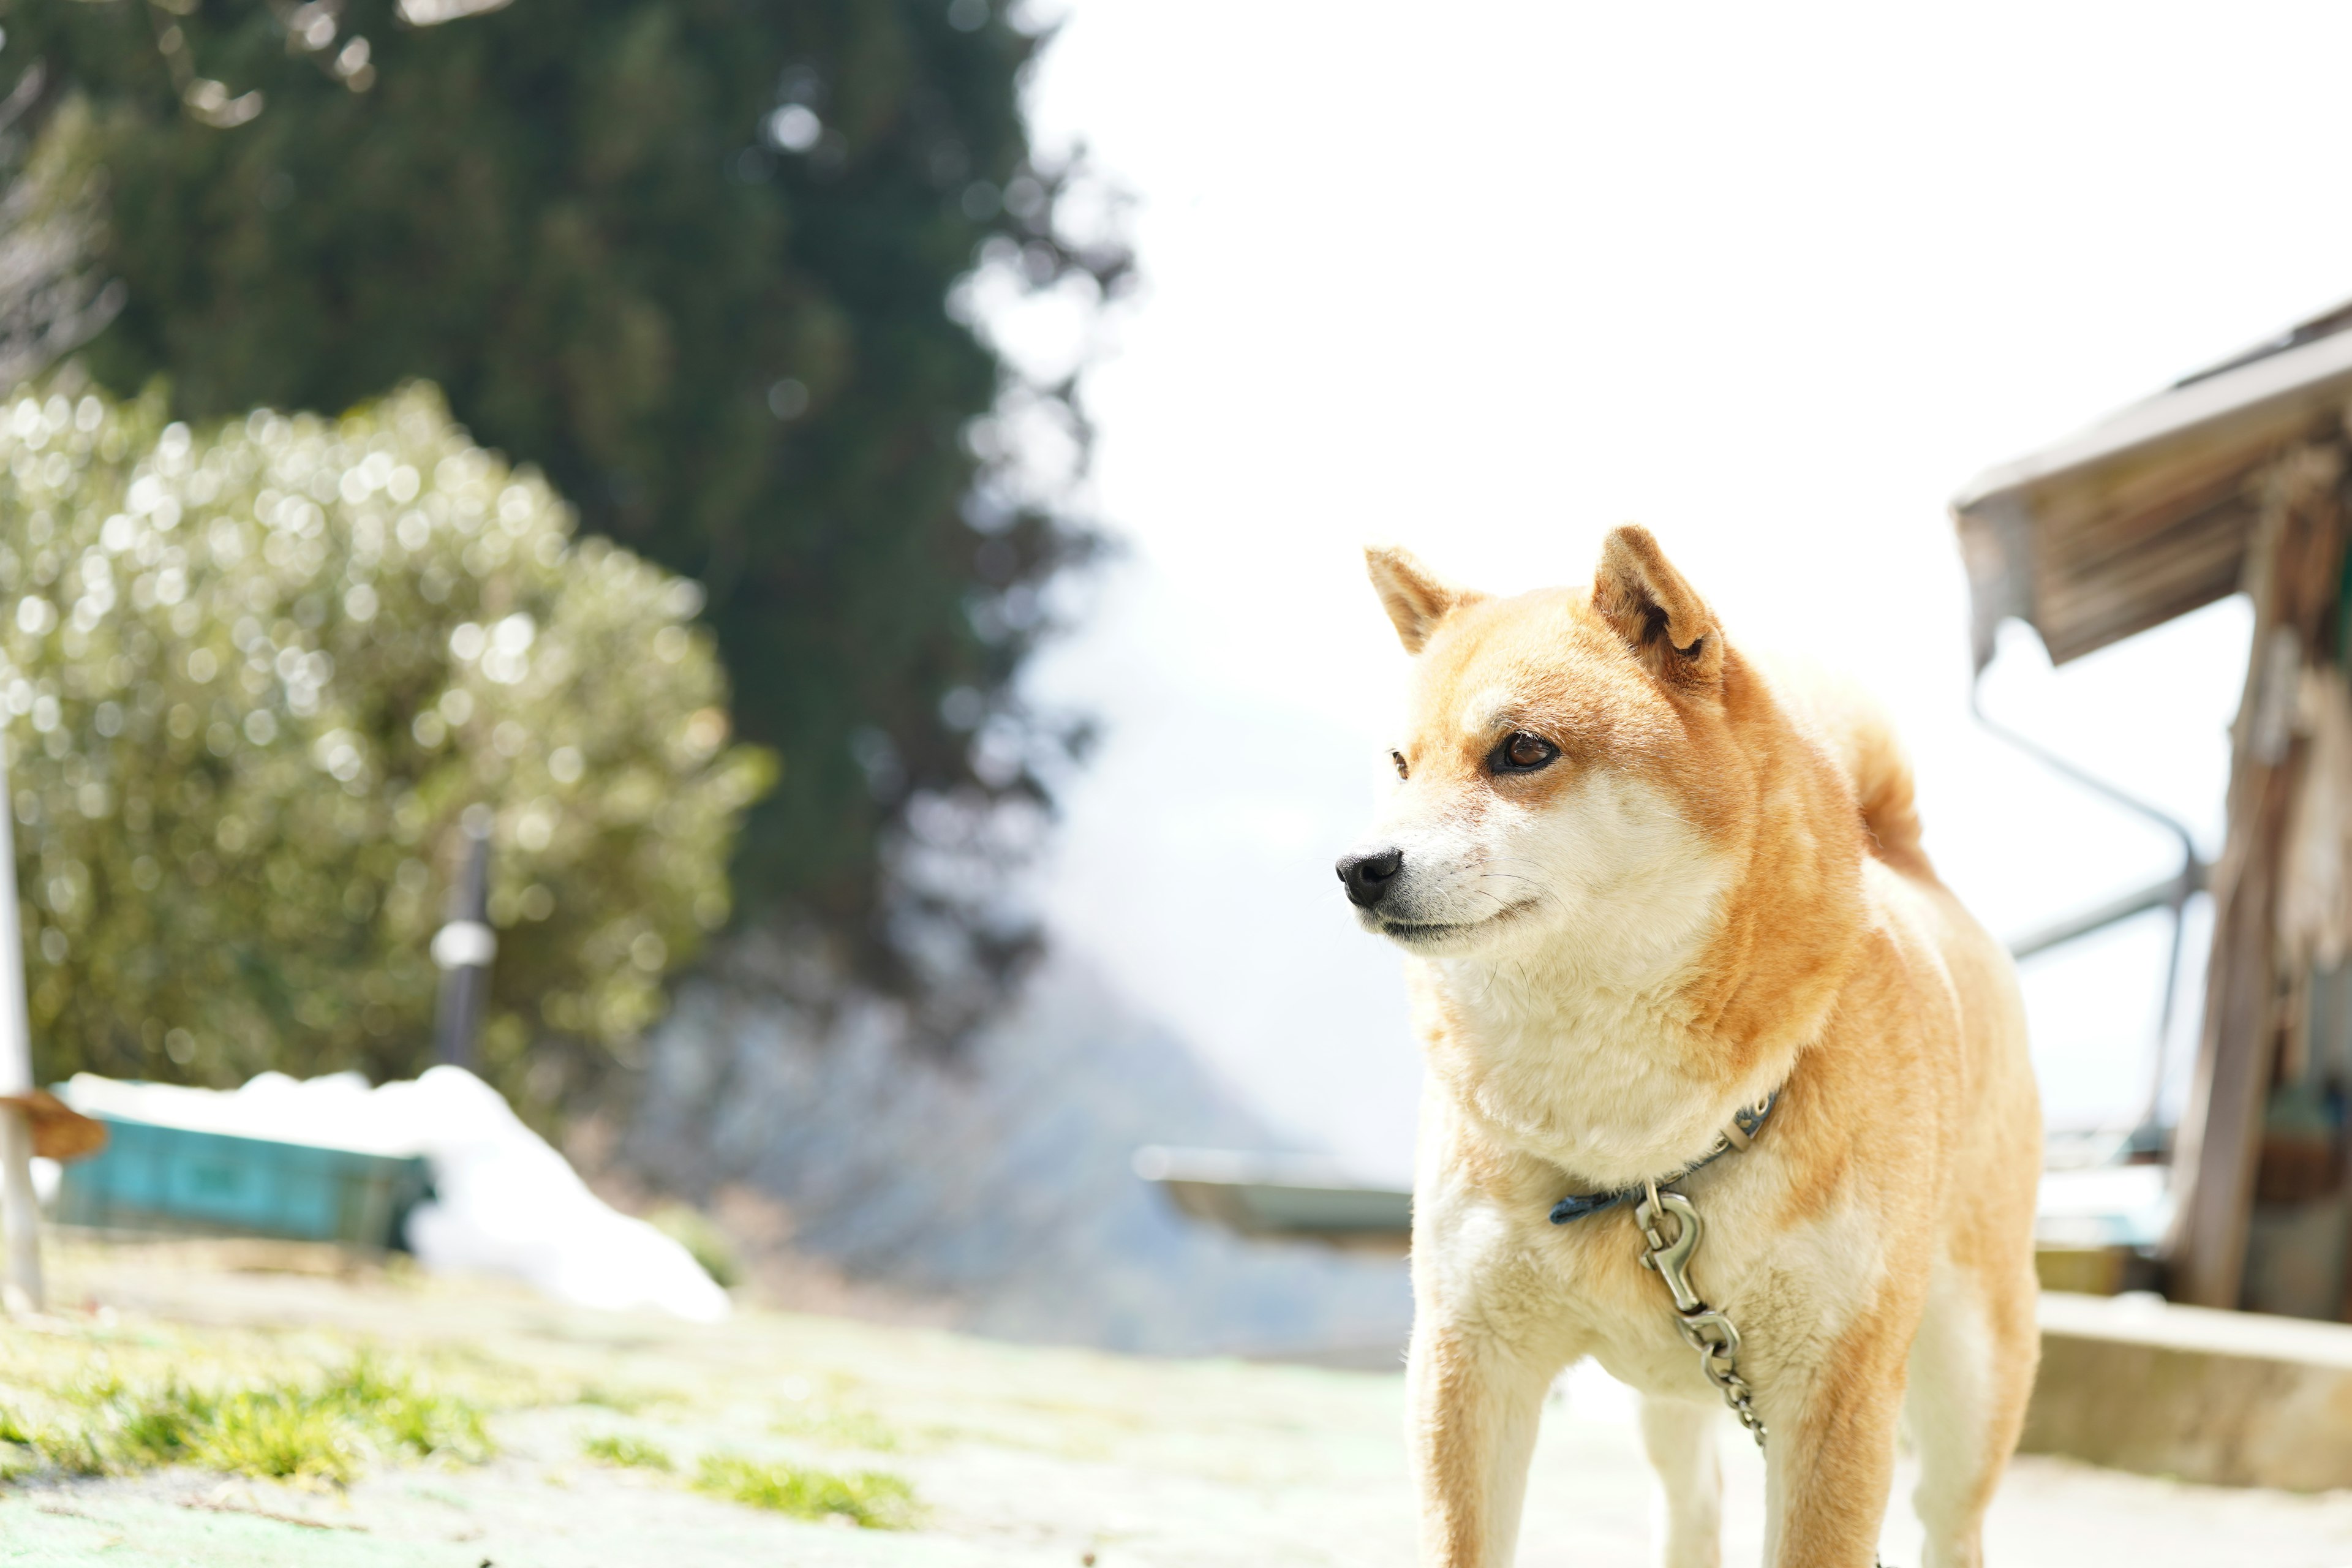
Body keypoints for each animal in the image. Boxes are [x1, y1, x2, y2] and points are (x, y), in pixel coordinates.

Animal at [1345, 531, 2041, 1568]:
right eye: (1400, 764)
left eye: (1522, 751)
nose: (1358, 867)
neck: (1633, 1149)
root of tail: (1911, 863)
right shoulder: (1469, 1363)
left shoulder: (1832, 1398)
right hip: (1673, 1394)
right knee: (1694, 1500)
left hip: (1969, 1375)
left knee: (1951, 1525)